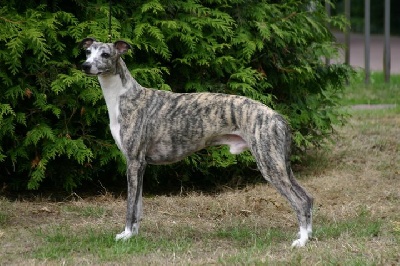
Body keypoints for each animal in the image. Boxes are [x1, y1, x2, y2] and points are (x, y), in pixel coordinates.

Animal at [80, 37, 312, 247]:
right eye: (88, 52)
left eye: (105, 54)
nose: (85, 66)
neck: (125, 96)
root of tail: (278, 117)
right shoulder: (141, 165)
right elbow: (137, 205)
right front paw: (134, 234)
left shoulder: (134, 162)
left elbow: (130, 204)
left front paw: (126, 235)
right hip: (281, 164)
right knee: (307, 198)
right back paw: (307, 235)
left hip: (269, 164)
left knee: (300, 202)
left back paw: (301, 242)